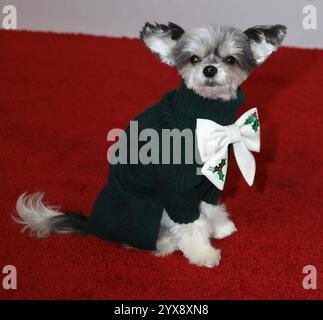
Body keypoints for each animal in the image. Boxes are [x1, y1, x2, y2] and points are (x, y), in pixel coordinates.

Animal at [13, 21, 288, 268]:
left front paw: (219, 226)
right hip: (148, 207)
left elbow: (208, 208)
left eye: (230, 59)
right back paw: (165, 243)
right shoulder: (176, 190)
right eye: (194, 59)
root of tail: (92, 224)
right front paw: (203, 253)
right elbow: (191, 223)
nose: (209, 70)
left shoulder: (210, 182)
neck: (204, 116)